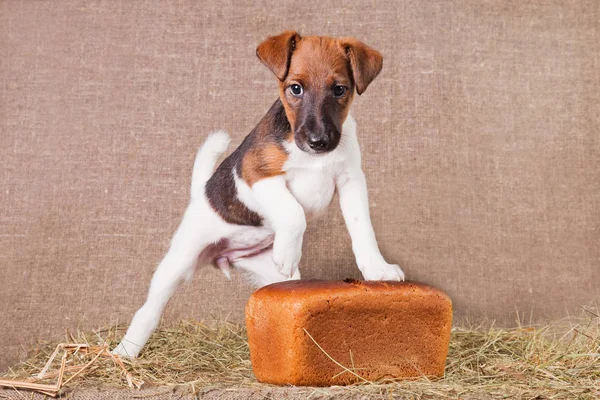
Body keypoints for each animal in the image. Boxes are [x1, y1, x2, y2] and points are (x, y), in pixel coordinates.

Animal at [112, 30, 404, 356]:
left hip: (268, 276)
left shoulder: (351, 181)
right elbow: (294, 213)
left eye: (339, 89)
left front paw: (377, 269)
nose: (318, 142)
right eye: (296, 88)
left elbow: (362, 230)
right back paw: (125, 352)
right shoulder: (257, 177)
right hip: (177, 264)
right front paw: (289, 251)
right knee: (147, 311)